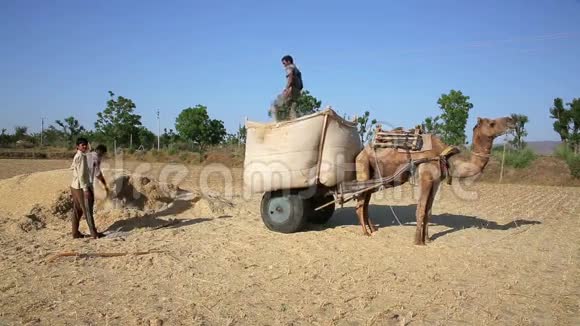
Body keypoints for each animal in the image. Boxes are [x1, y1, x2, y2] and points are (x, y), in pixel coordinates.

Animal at [356, 117, 516, 244]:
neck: (444, 156)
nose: (511, 120)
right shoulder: (426, 178)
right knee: (360, 203)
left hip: (373, 178)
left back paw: (372, 229)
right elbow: (421, 209)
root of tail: (361, 152)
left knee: (365, 202)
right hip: (363, 168)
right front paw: (417, 242)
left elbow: (428, 211)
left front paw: (427, 239)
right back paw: (366, 232)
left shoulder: (436, 182)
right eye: (491, 123)